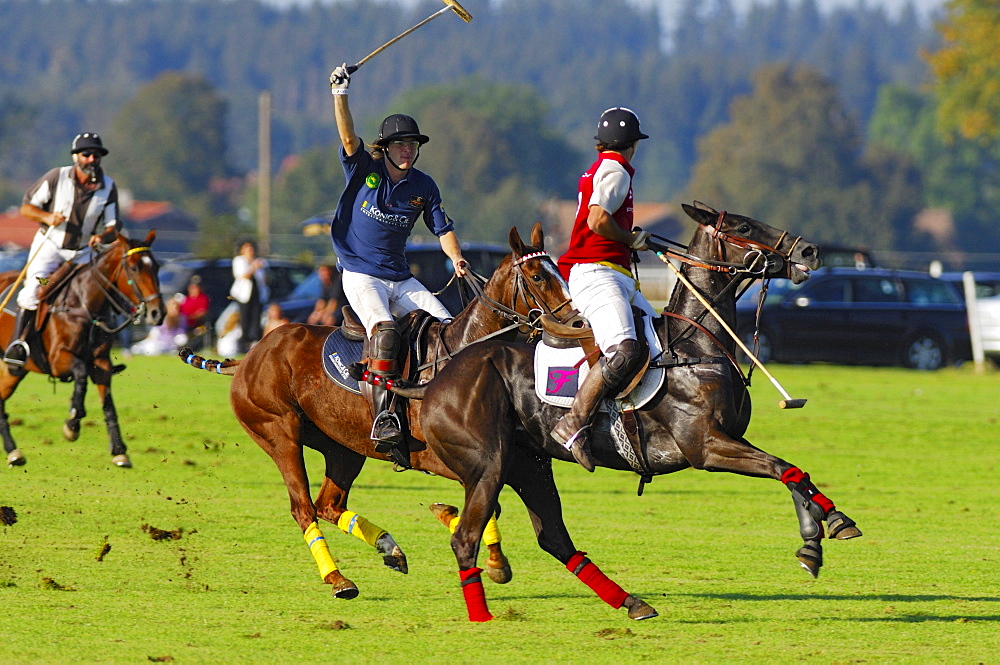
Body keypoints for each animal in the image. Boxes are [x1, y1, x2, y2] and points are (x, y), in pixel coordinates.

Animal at [0, 231, 164, 470]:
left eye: (157, 266)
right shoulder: (58, 360)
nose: (157, 313)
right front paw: (72, 423)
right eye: (134, 268)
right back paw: (14, 452)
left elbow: (108, 405)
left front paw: (119, 452)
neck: (85, 305)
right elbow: (80, 373)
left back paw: (13, 452)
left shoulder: (101, 363)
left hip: (13, 371)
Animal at [178, 223, 572, 596]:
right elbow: (489, 503)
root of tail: (248, 357)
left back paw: (388, 548)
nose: (577, 323)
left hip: (344, 446)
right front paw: (481, 548)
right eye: (538, 276)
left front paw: (489, 556)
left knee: (329, 504)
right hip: (278, 434)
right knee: (304, 508)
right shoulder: (439, 456)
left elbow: (491, 502)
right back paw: (339, 579)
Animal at [386, 204, 864, 624]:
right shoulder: (705, 448)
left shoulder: (728, 439)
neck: (695, 346)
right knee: (466, 537)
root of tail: (434, 380)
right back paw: (481, 614)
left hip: (528, 464)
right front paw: (824, 533)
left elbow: (791, 471)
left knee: (553, 537)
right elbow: (783, 467)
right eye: (745, 226)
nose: (810, 251)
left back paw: (632, 603)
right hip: (488, 465)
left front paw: (823, 533)